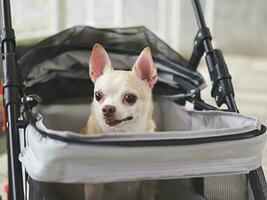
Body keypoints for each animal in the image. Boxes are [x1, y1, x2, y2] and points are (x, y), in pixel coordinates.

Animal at [84, 44, 158, 200]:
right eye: (98, 95)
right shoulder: (94, 187)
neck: (123, 134)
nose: (107, 108)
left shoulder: (148, 183)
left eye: (130, 98)